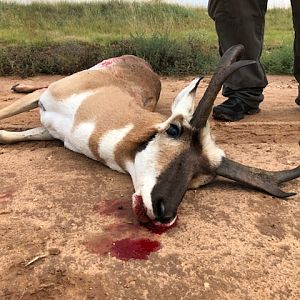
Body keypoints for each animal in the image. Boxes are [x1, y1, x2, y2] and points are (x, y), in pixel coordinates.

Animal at [0, 44, 300, 227]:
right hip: (55, 85)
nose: (164, 211)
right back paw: (18, 85)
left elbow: (8, 136)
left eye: (201, 178)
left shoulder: (51, 133)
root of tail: (141, 61)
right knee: (41, 84)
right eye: (173, 129)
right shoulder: (44, 102)